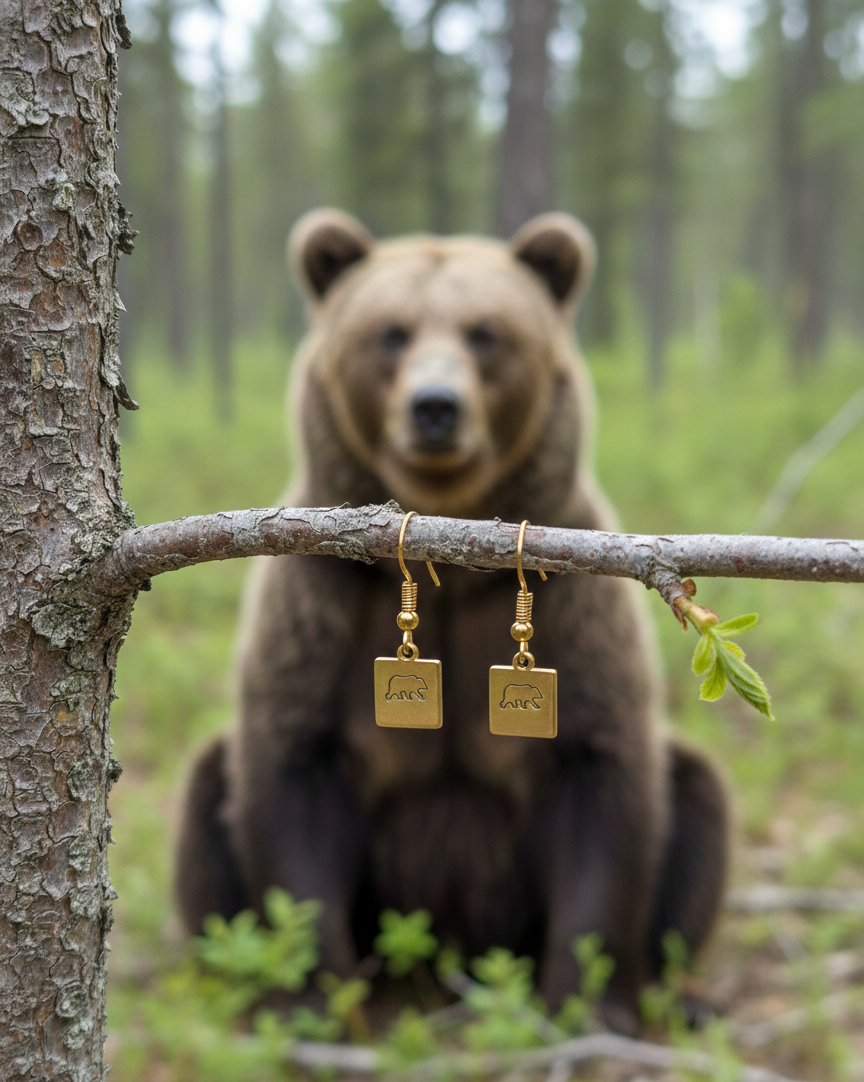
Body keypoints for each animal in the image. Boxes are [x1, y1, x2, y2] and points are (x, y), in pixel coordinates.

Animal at [175, 208, 729, 1035]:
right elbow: (289, 781)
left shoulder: (574, 603)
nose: (435, 406)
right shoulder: (323, 602)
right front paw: (317, 1001)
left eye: (485, 332)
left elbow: (603, 781)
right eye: (391, 332)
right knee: (204, 807)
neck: (453, 549)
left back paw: (687, 998)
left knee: (699, 800)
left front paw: (590, 1005)